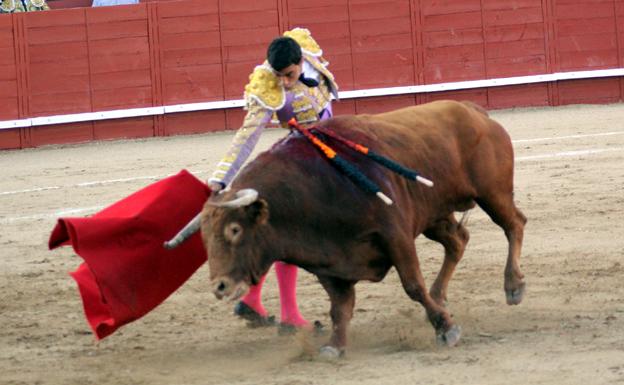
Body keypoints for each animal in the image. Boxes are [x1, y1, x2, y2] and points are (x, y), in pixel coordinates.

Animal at [167, 100, 528, 356]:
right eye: (204, 238)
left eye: (235, 230)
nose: (220, 287)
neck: (312, 190)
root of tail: (475, 112)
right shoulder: (328, 262)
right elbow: (339, 307)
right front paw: (334, 346)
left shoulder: (396, 235)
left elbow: (413, 285)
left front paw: (445, 329)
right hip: (434, 214)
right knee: (458, 241)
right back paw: (442, 295)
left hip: (492, 193)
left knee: (514, 224)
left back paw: (512, 286)